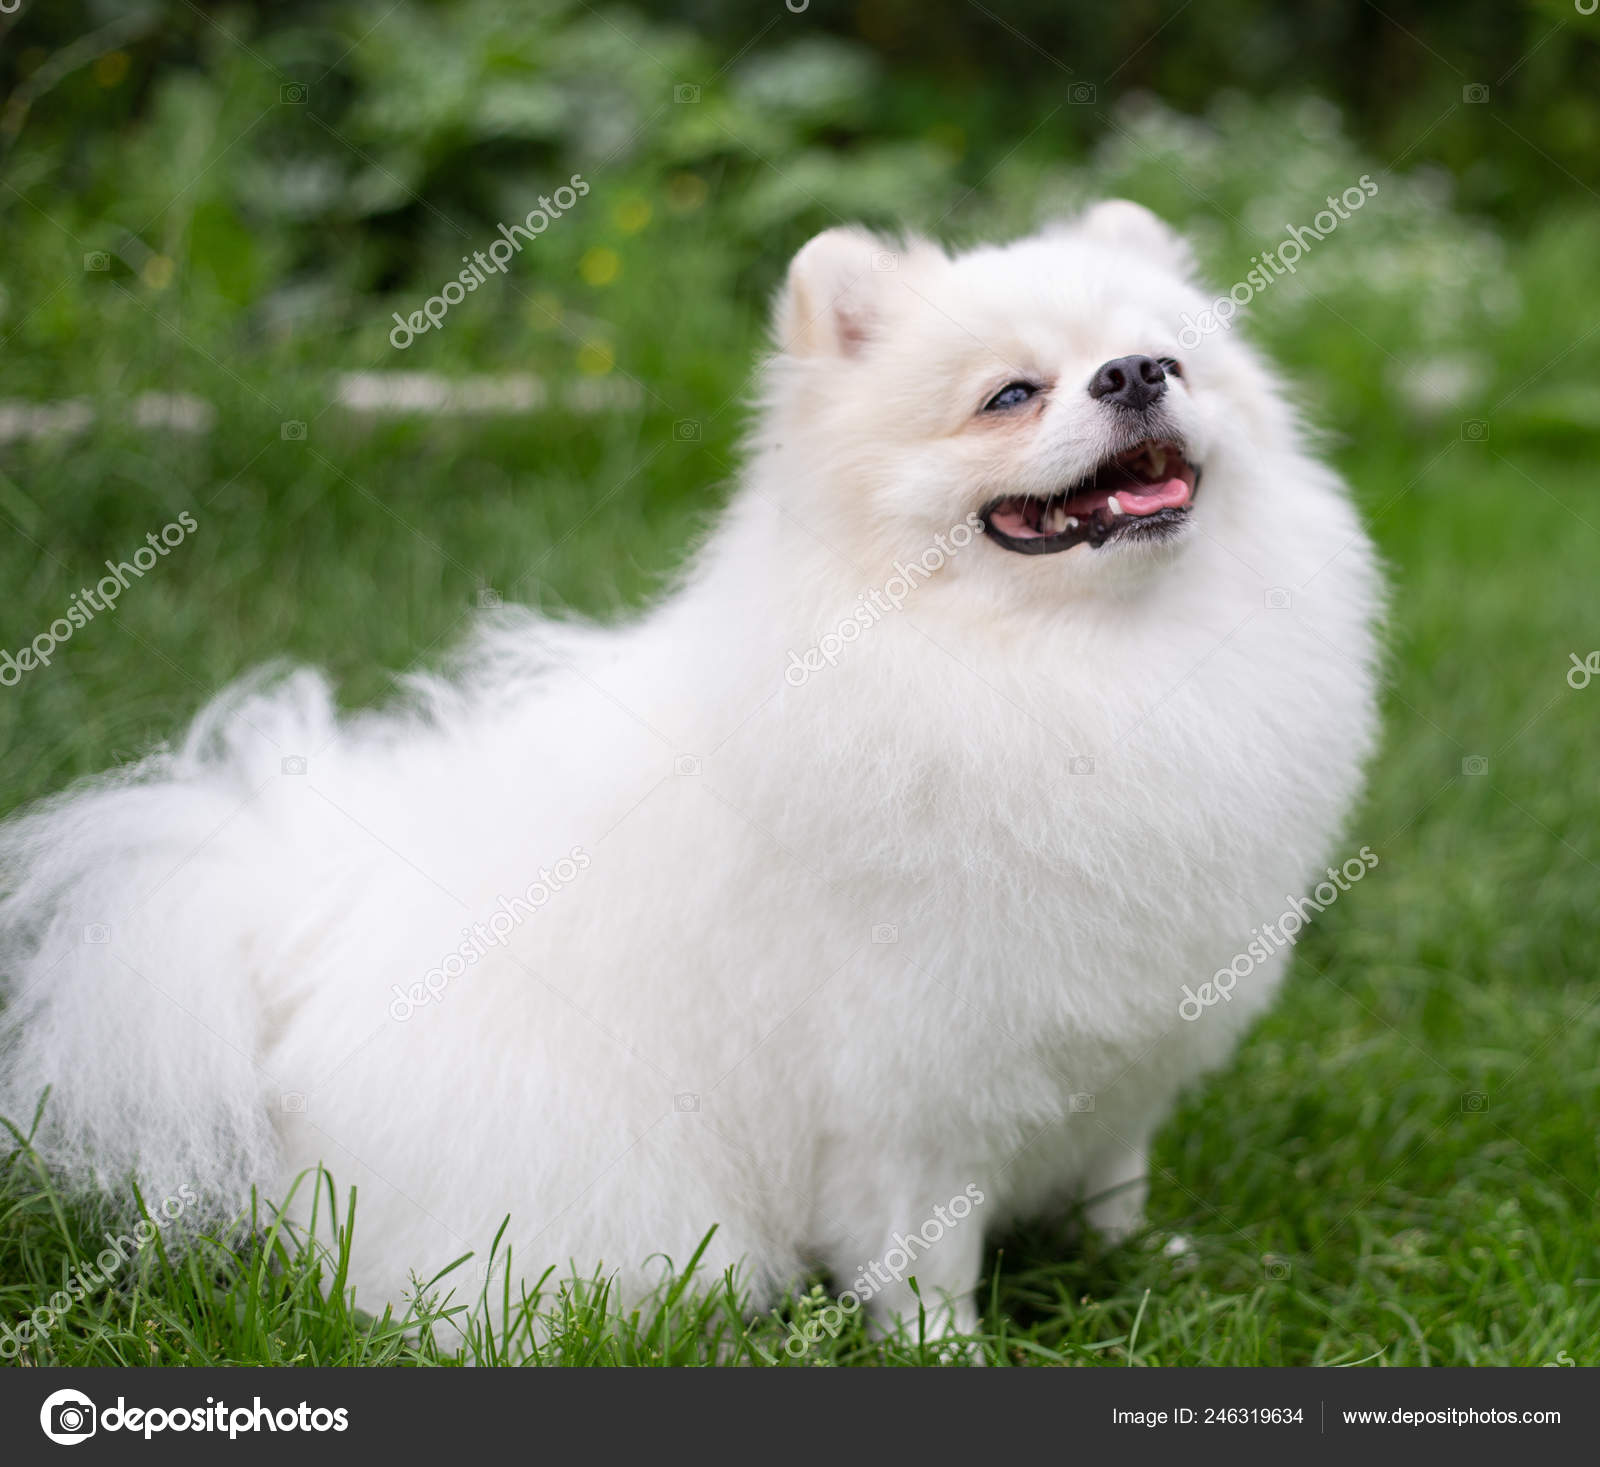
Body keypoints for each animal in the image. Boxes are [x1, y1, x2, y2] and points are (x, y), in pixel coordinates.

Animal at [0, 203, 1376, 1337]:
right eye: (1009, 395)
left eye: (1173, 360)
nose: (1134, 374)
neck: (1078, 665)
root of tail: (291, 949)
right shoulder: (905, 1100)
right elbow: (921, 1266)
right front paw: (952, 1354)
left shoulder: (1127, 1055)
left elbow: (1113, 1185)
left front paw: (1146, 1268)